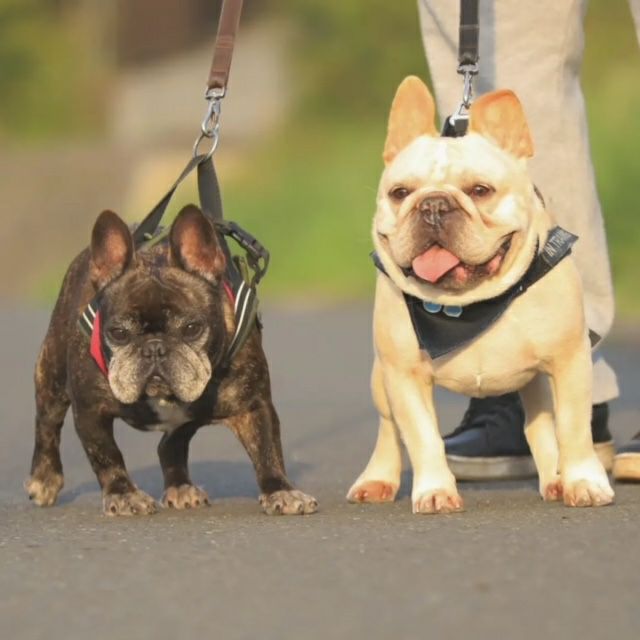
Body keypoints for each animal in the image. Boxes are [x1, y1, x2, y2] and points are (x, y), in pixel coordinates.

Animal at [26, 204, 317, 516]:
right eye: (118, 333)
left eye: (191, 328)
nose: (154, 348)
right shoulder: (91, 410)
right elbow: (106, 455)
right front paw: (124, 494)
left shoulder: (254, 404)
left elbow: (267, 450)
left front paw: (281, 491)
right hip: (52, 376)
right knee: (47, 422)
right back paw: (44, 479)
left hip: (188, 417)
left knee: (170, 444)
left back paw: (181, 487)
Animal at [347, 76, 614, 513]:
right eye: (400, 192)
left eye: (480, 190)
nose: (433, 205)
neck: (467, 307)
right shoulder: (403, 374)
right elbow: (421, 437)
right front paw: (435, 490)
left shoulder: (569, 361)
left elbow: (574, 428)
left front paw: (583, 482)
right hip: (380, 377)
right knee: (389, 428)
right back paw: (378, 478)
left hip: (539, 380)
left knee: (541, 424)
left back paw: (556, 479)